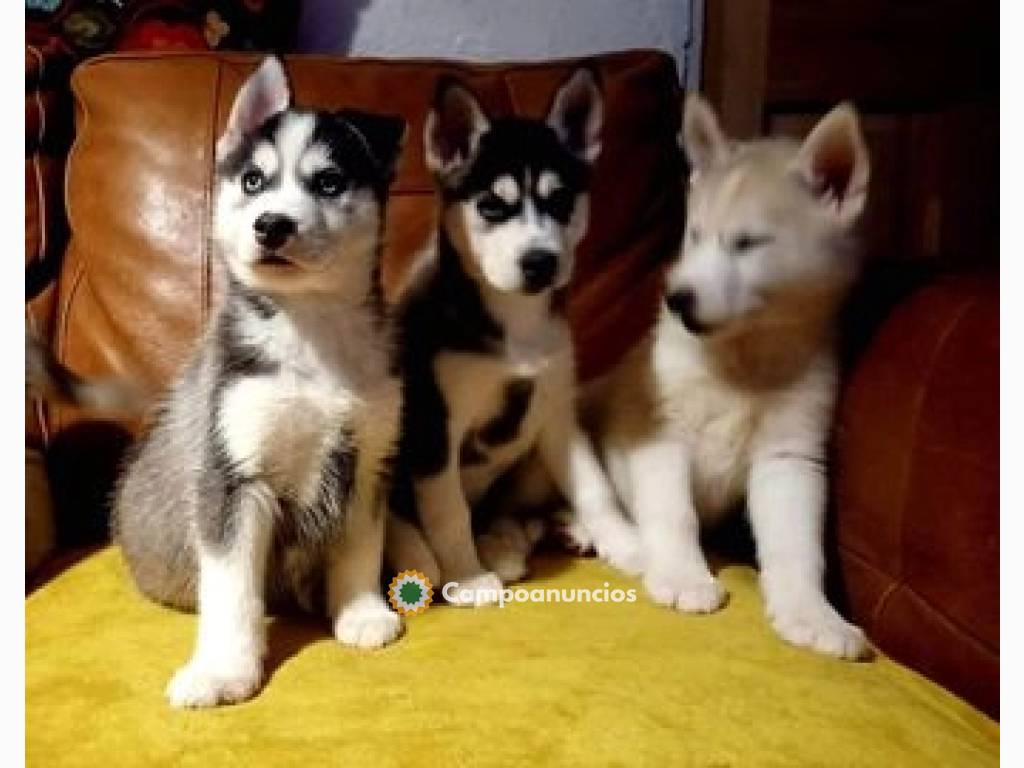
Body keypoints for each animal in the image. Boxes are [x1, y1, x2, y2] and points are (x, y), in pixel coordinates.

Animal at [113, 58, 407, 708]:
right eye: (252, 180)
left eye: (328, 183)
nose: (272, 224)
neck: (310, 332)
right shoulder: (233, 477)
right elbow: (232, 591)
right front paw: (225, 669)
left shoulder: (367, 459)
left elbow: (360, 547)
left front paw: (361, 611)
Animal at [385, 69, 638, 606]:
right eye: (491, 206)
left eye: (560, 200)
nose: (540, 262)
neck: (514, 319)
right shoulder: (436, 425)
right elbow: (448, 512)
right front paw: (467, 577)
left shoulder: (558, 411)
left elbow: (596, 487)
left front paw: (633, 547)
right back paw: (428, 554)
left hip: (532, 451)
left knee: (514, 512)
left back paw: (543, 533)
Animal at [585, 94, 872, 663]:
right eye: (694, 236)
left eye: (748, 244)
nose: (677, 299)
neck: (744, 358)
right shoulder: (658, 431)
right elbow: (674, 513)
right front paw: (682, 576)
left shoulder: (789, 454)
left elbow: (796, 547)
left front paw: (812, 614)